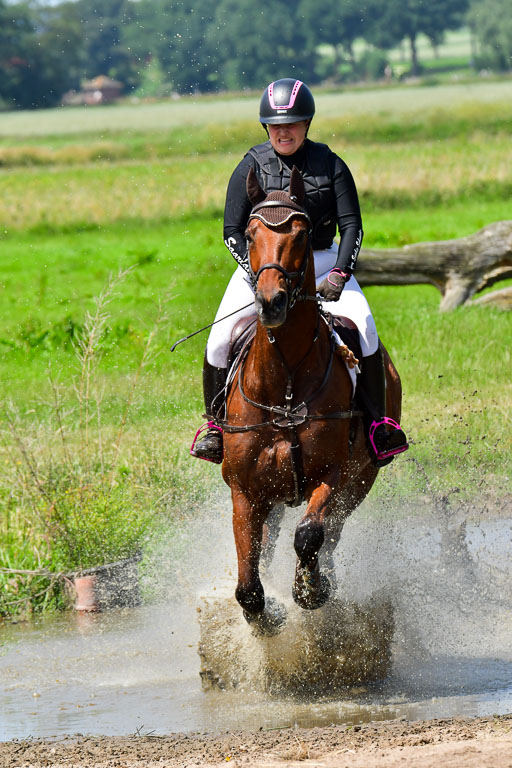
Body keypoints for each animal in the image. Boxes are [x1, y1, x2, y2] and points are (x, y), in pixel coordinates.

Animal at [220, 166, 403, 635]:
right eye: (250, 234)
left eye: (301, 235)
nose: (271, 301)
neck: (284, 384)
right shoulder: (245, 489)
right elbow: (248, 581)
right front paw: (266, 618)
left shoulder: (333, 474)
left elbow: (310, 536)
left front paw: (309, 591)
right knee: (269, 544)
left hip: (360, 481)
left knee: (330, 535)